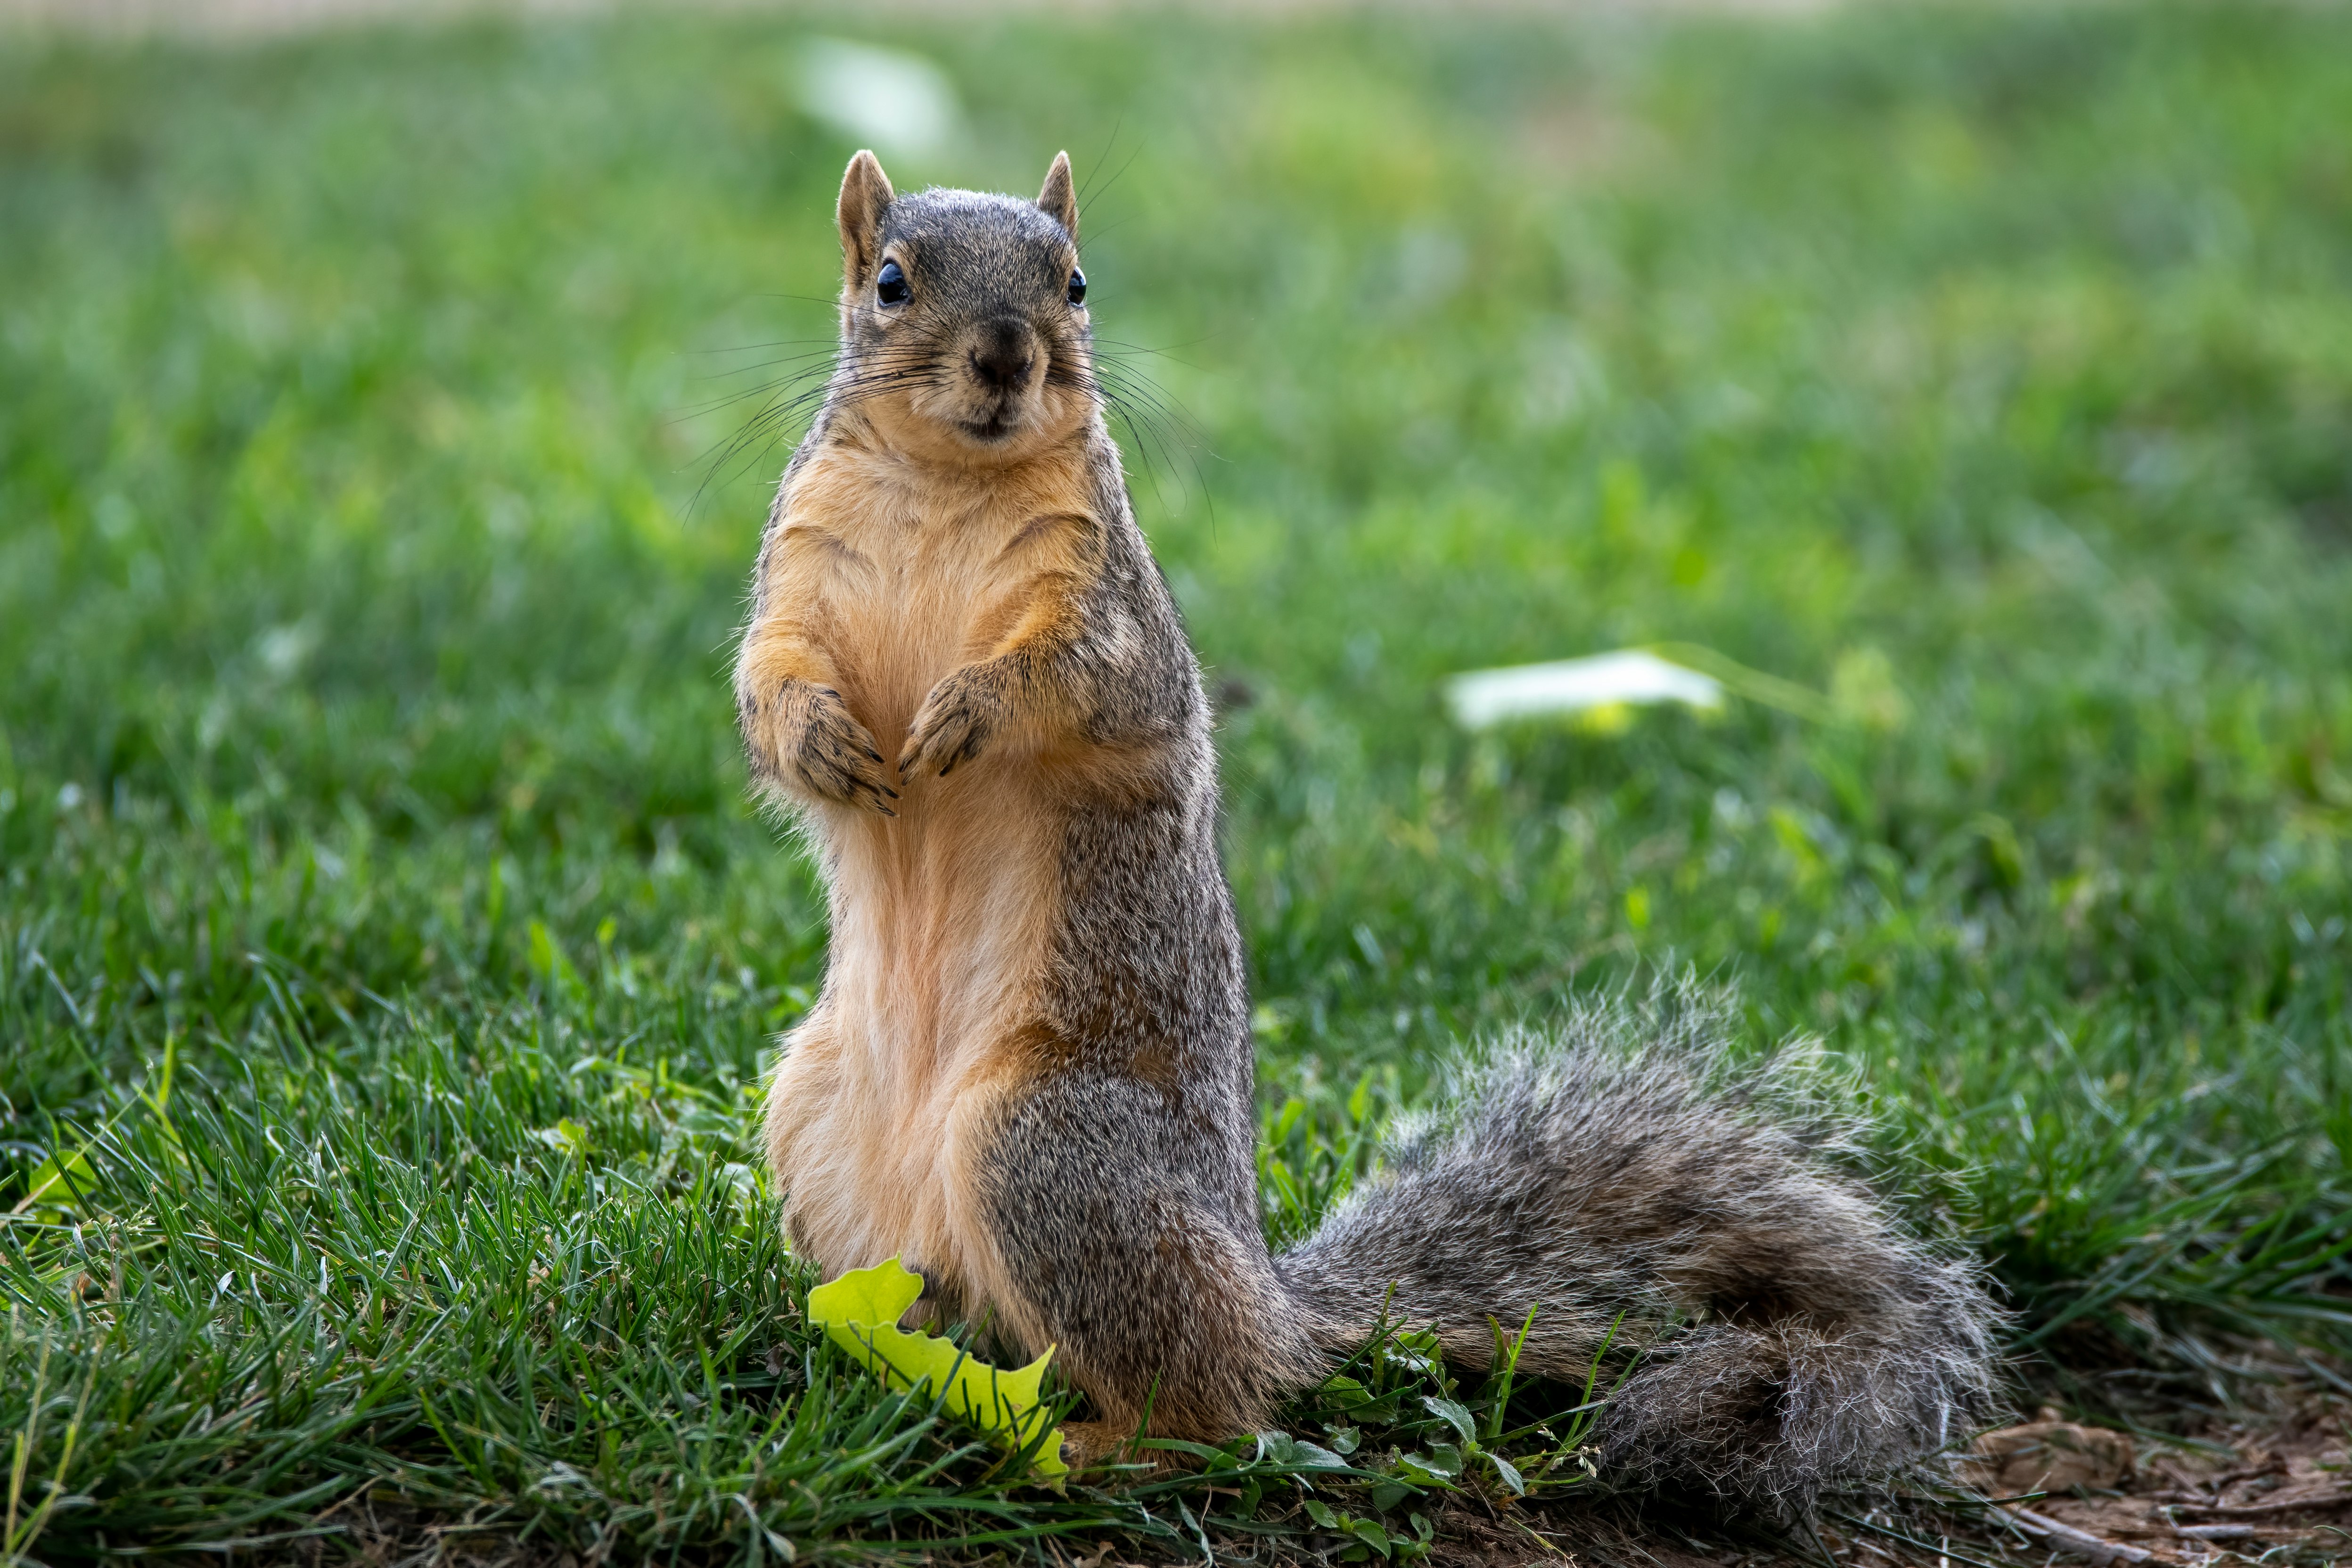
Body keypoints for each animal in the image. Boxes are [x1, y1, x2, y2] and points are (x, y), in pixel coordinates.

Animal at [724, 153, 1994, 1514]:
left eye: (1074, 282)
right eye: (890, 282)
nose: (1010, 355)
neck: (946, 486)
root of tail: (1268, 1301)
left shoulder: (1108, 608)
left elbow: (1080, 684)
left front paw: (969, 708)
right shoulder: (795, 574)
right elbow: (765, 685)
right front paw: (819, 739)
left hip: (1049, 1149)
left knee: (1217, 1404)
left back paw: (1096, 1442)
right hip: (817, 1121)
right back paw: (867, 1363)